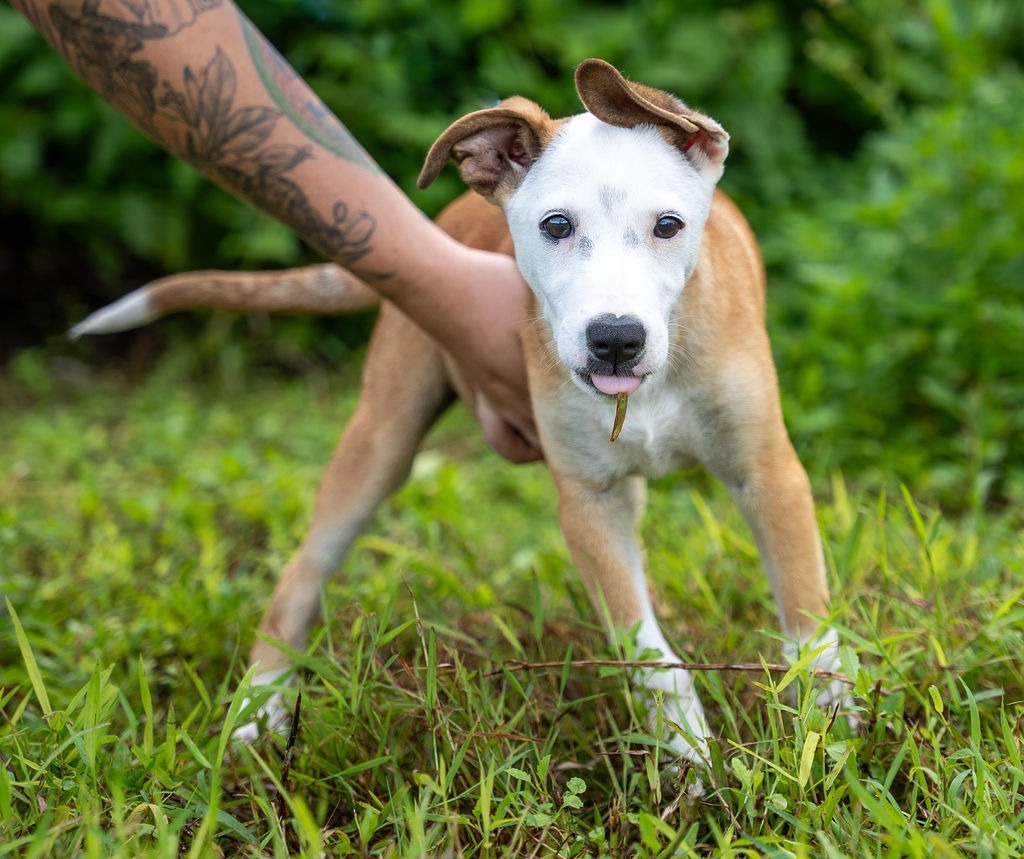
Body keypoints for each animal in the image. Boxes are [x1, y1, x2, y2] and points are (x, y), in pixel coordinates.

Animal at [74, 57, 847, 761]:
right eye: (556, 226)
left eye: (669, 226)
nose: (616, 339)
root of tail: (448, 213)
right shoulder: (590, 503)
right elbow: (648, 653)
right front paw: (689, 759)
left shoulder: (768, 473)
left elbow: (809, 620)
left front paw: (828, 735)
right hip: (384, 431)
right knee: (302, 571)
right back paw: (259, 710)